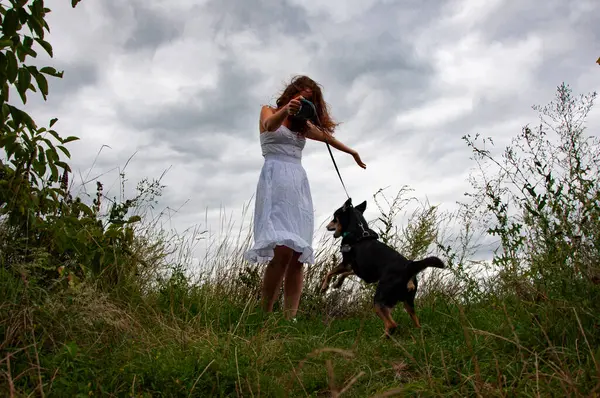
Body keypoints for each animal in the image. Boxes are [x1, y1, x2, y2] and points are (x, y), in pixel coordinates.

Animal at [322, 197, 442, 338]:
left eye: (334, 218)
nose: (327, 226)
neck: (357, 230)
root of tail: (409, 266)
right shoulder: (363, 272)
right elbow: (345, 273)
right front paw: (337, 283)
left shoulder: (347, 263)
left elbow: (330, 272)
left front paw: (324, 287)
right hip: (407, 302)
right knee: (416, 322)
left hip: (379, 300)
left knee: (392, 324)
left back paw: (382, 339)